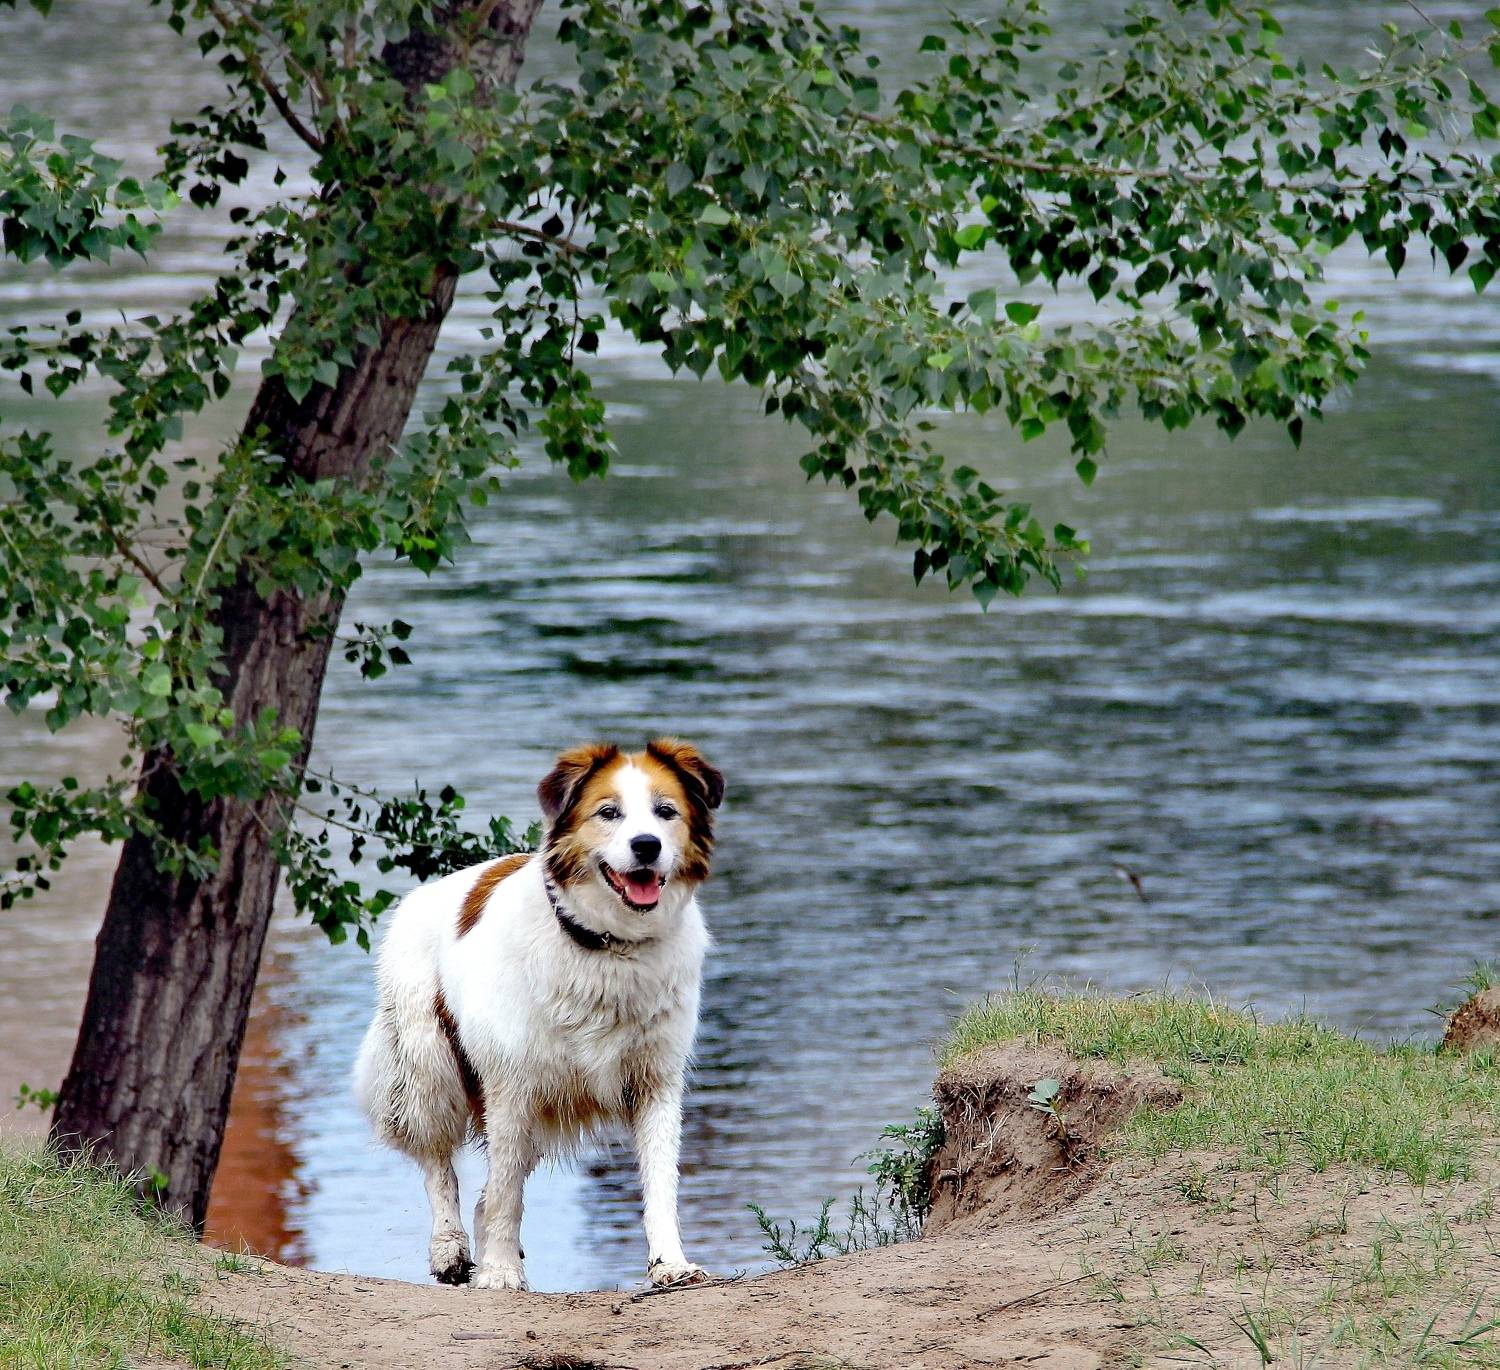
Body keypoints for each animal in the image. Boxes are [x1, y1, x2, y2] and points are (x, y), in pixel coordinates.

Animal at [353, 738, 723, 1291]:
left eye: (666, 812)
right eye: (608, 813)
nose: (646, 846)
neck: (608, 948)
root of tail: (425, 893)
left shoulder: (656, 1078)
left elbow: (660, 1179)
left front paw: (670, 1264)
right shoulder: (511, 1084)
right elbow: (505, 1192)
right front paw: (500, 1274)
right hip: (427, 1063)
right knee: (440, 1161)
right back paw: (450, 1249)